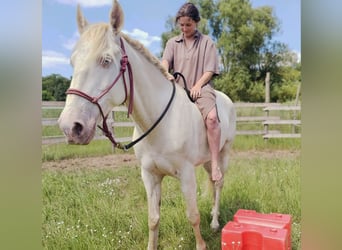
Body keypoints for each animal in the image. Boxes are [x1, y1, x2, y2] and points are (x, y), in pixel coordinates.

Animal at [58, 0, 235, 249]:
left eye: (106, 60)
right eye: (73, 62)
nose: (71, 127)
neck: (160, 125)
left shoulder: (187, 175)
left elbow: (193, 216)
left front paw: (202, 243)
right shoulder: (150, 176)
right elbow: (153, 219)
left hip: (223, 153)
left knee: (218, 184)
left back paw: (215, 222)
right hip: (209, 159)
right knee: (212, 181)